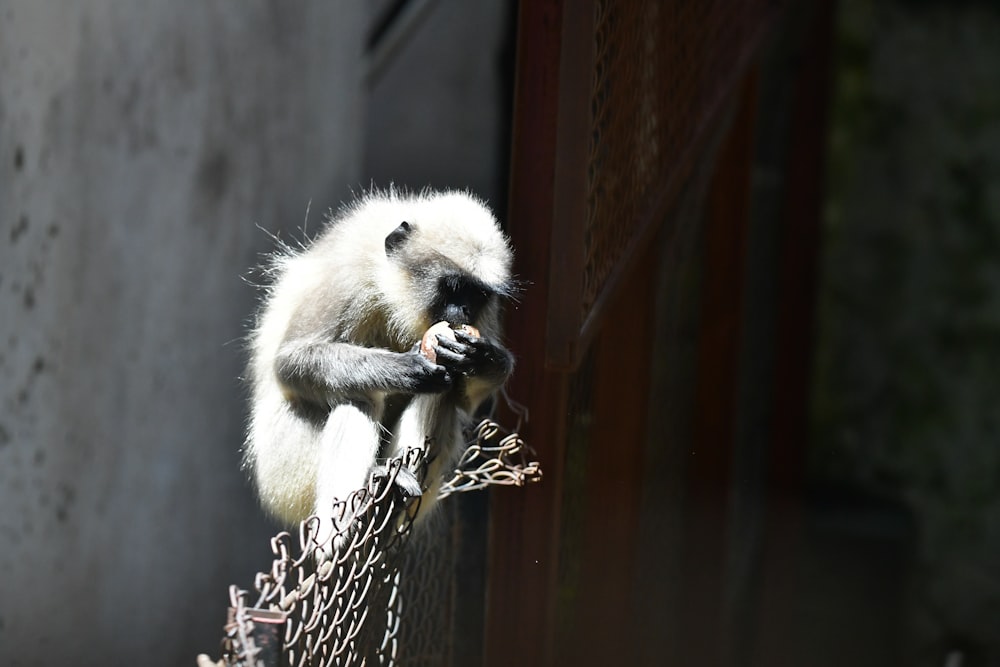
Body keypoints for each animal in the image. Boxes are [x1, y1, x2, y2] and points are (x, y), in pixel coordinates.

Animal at [242, 190, 516, 544]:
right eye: (453, 288)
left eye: (477, 295)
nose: (465, 311)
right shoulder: (347, 272)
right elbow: (289, 362)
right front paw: (404, 369)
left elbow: (464, 396)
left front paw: (481, 358)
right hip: (284, 471)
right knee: (359, 395)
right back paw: (338, 536)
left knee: (445, 390)